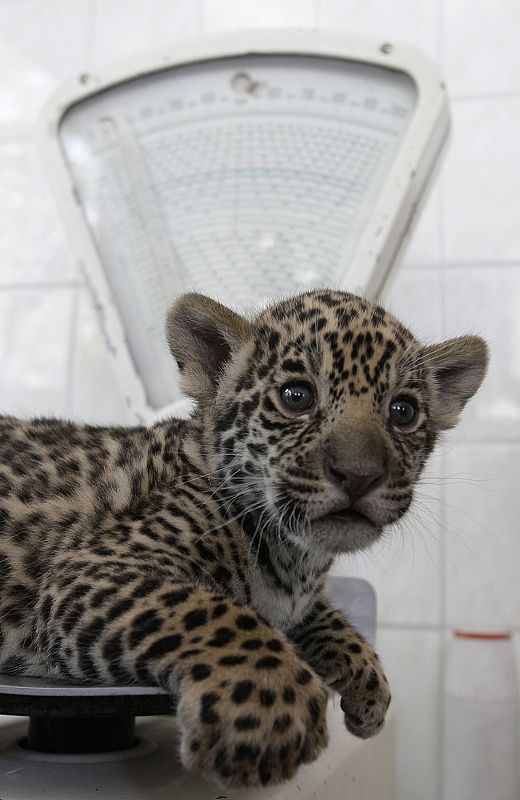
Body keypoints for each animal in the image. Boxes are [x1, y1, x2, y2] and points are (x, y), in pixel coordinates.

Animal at [0, 288, 488, 788]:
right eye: (297, 397)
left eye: (402, 411)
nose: (359, 475)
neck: (297, 558)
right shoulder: (92, 568)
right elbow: (209, 611)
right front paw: (271, 710)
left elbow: (319, 614)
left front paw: (369, 680)